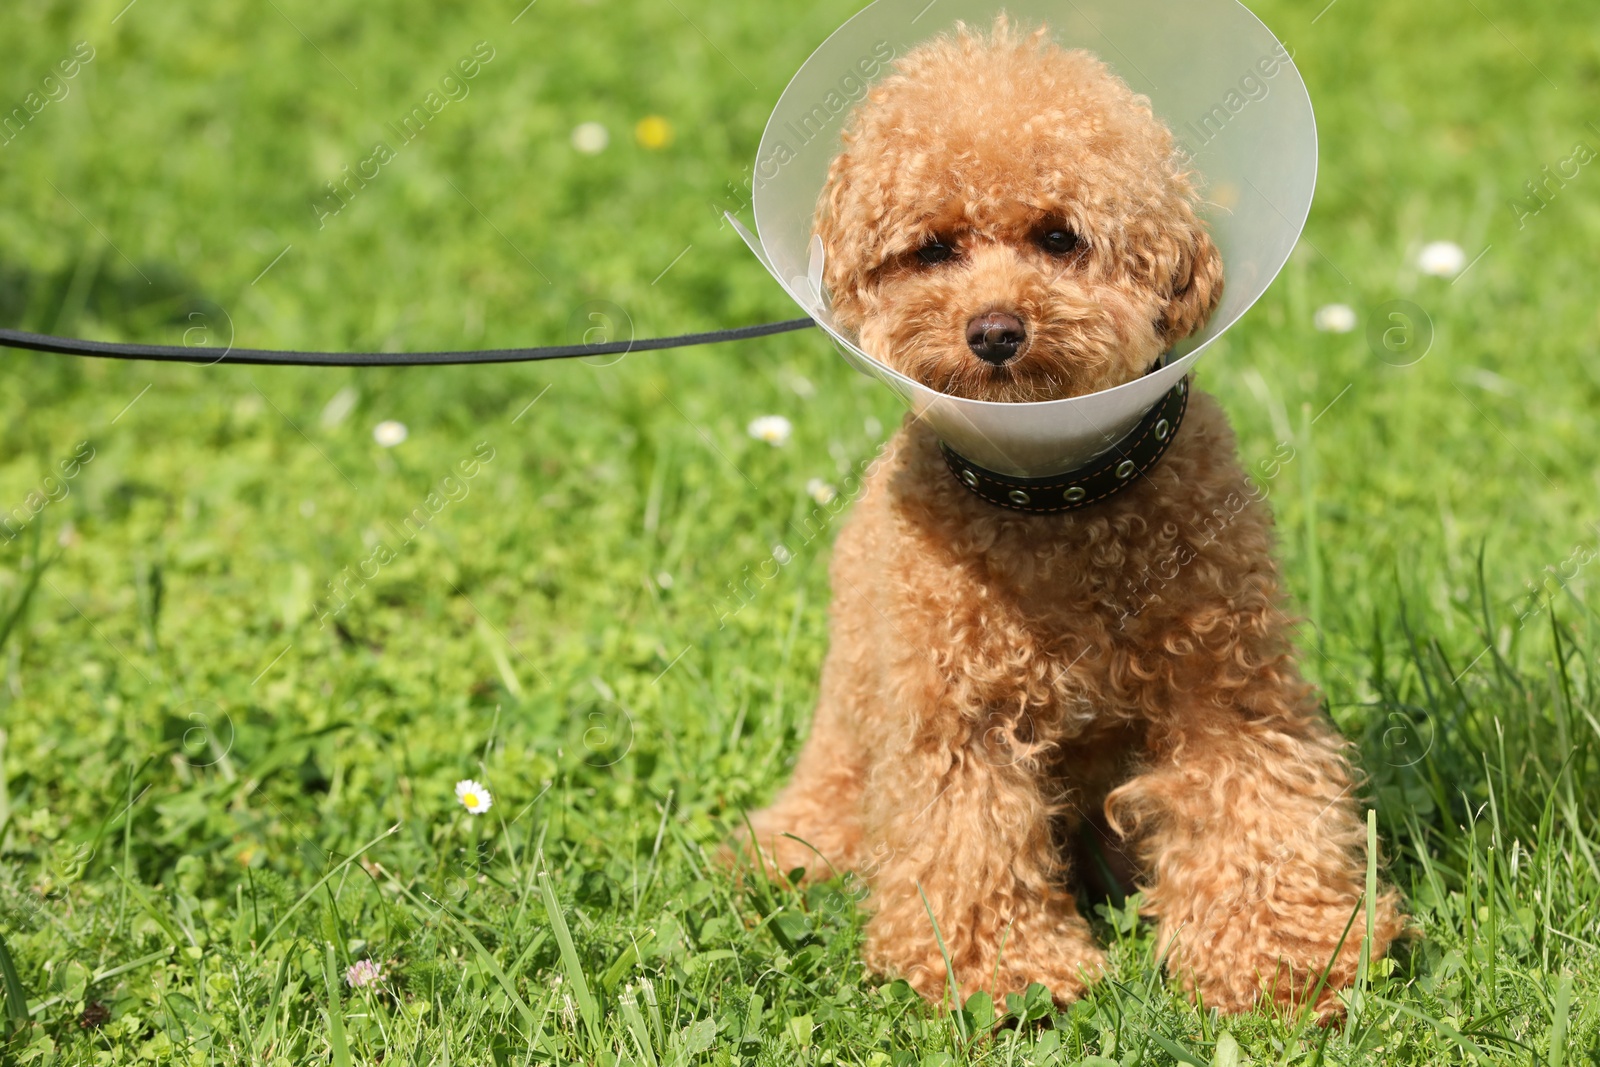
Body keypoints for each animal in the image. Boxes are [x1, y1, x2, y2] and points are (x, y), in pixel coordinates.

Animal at [742, 18, 1408, 1017]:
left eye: (1059, 237)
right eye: (932, 249)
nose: (994, 330)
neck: (1056, 500)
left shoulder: (1228, 688)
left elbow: (1256, 804)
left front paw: (1286, 961)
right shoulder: (955, 716)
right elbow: (967, 835)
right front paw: (1001, 973)